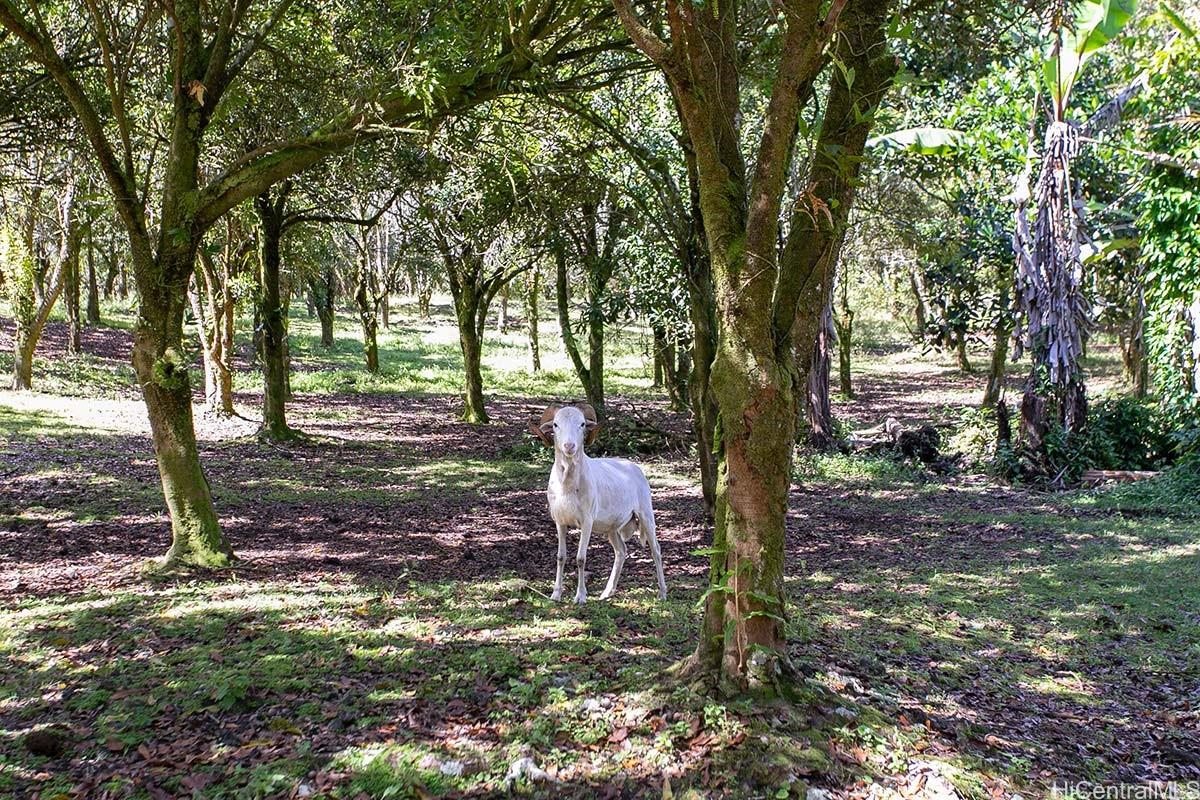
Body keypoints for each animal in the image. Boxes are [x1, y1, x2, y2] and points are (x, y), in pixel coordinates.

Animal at [532, 402, 672, 604]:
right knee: (621, 551)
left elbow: (581, 558)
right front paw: (555, 595)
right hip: (612, 529)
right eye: (556, 425)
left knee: (656, 551)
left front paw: (580, 597)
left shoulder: (586, 522)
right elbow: (561, 557)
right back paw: (607, 592)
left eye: (582, 424)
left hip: (646, 515)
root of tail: (634, 467)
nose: (569, 446)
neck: (567, 488)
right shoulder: (560, 522)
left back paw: (662, 593)